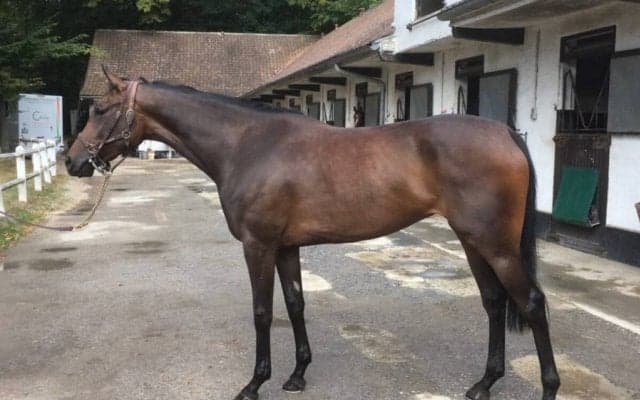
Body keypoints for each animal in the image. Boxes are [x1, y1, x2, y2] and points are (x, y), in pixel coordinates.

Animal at [66, 68, 560, 400]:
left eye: (101, 110)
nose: (73, 162)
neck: (248, 144)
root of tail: (505, 133)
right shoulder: (287, 248)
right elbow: (296, 304)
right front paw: (297, 375)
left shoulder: (259, 246)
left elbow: (263, 312)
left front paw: (255, 383)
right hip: (474, 241)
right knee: (494, 304)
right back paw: (484, 383)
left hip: (497, 247)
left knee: (532, 303)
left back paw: (548, 386)